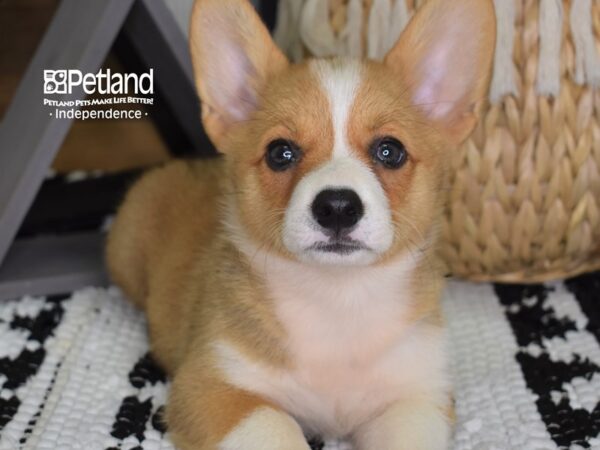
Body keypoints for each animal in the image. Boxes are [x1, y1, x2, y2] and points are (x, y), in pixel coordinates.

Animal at [105, 0, 494, 448]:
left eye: (390, 151)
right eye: (280, 153)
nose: (338, 206)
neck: (338, 303)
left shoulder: (416, 397)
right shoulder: (212, 387)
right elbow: (276, 425)